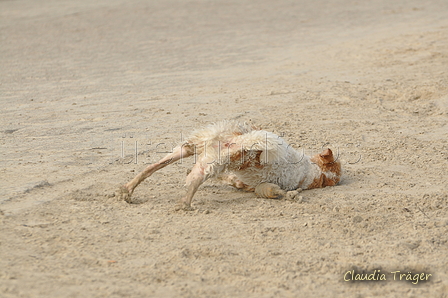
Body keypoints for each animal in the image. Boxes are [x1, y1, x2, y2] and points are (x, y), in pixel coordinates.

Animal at [117, 120, 342, 210]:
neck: (314, 173)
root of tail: (244, 140)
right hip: (213, 157)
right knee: (192, 179)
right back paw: (184, 204)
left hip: (195, 149)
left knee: (154, 167)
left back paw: (128, 190)